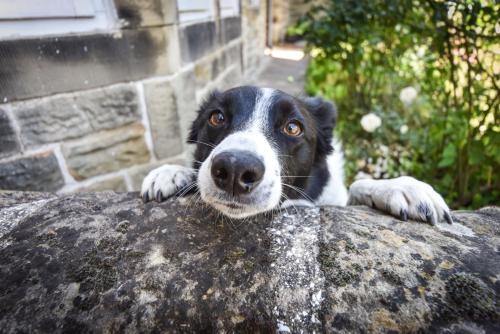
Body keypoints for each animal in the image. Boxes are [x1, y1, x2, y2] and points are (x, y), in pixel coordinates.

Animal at [140, 86, 454, 224]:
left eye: (293, 127)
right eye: (216, 117)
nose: (234, 169)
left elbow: (357, 185)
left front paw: (403, 187)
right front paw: (170, 172)